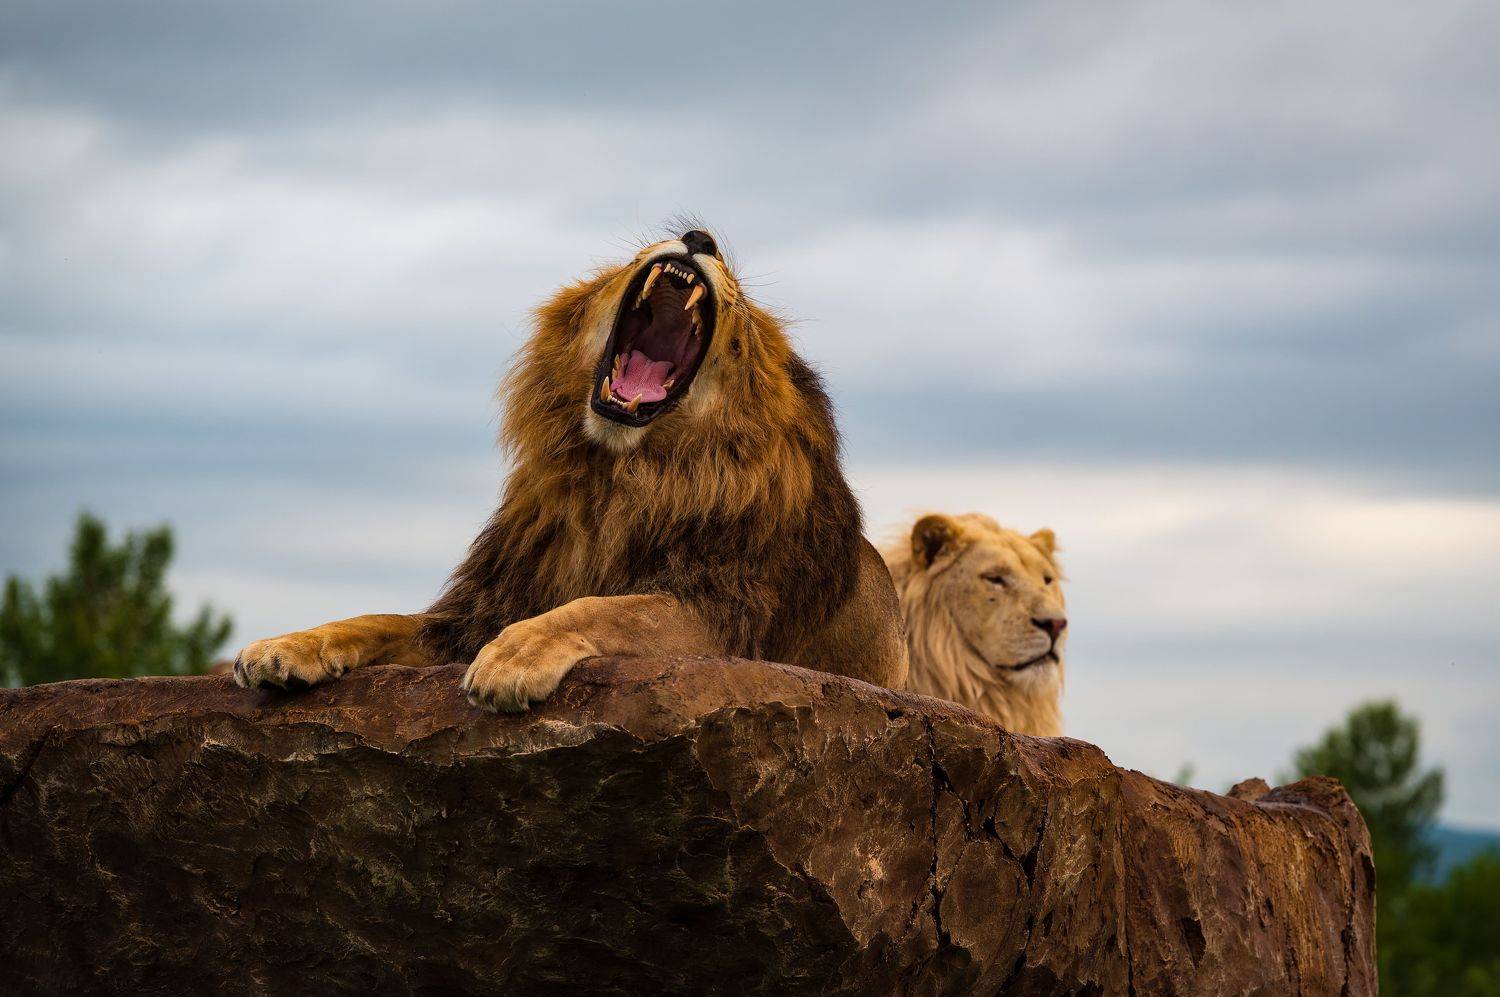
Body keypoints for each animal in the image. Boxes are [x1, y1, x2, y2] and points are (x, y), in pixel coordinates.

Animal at [233, 228, 908, 710]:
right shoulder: (484, 607)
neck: (615, 475)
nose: (698, 237)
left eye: (740, 300)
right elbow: (379, 619)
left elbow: (611, 607)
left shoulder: (724, 615)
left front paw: (514, 656)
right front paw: (284, 646)